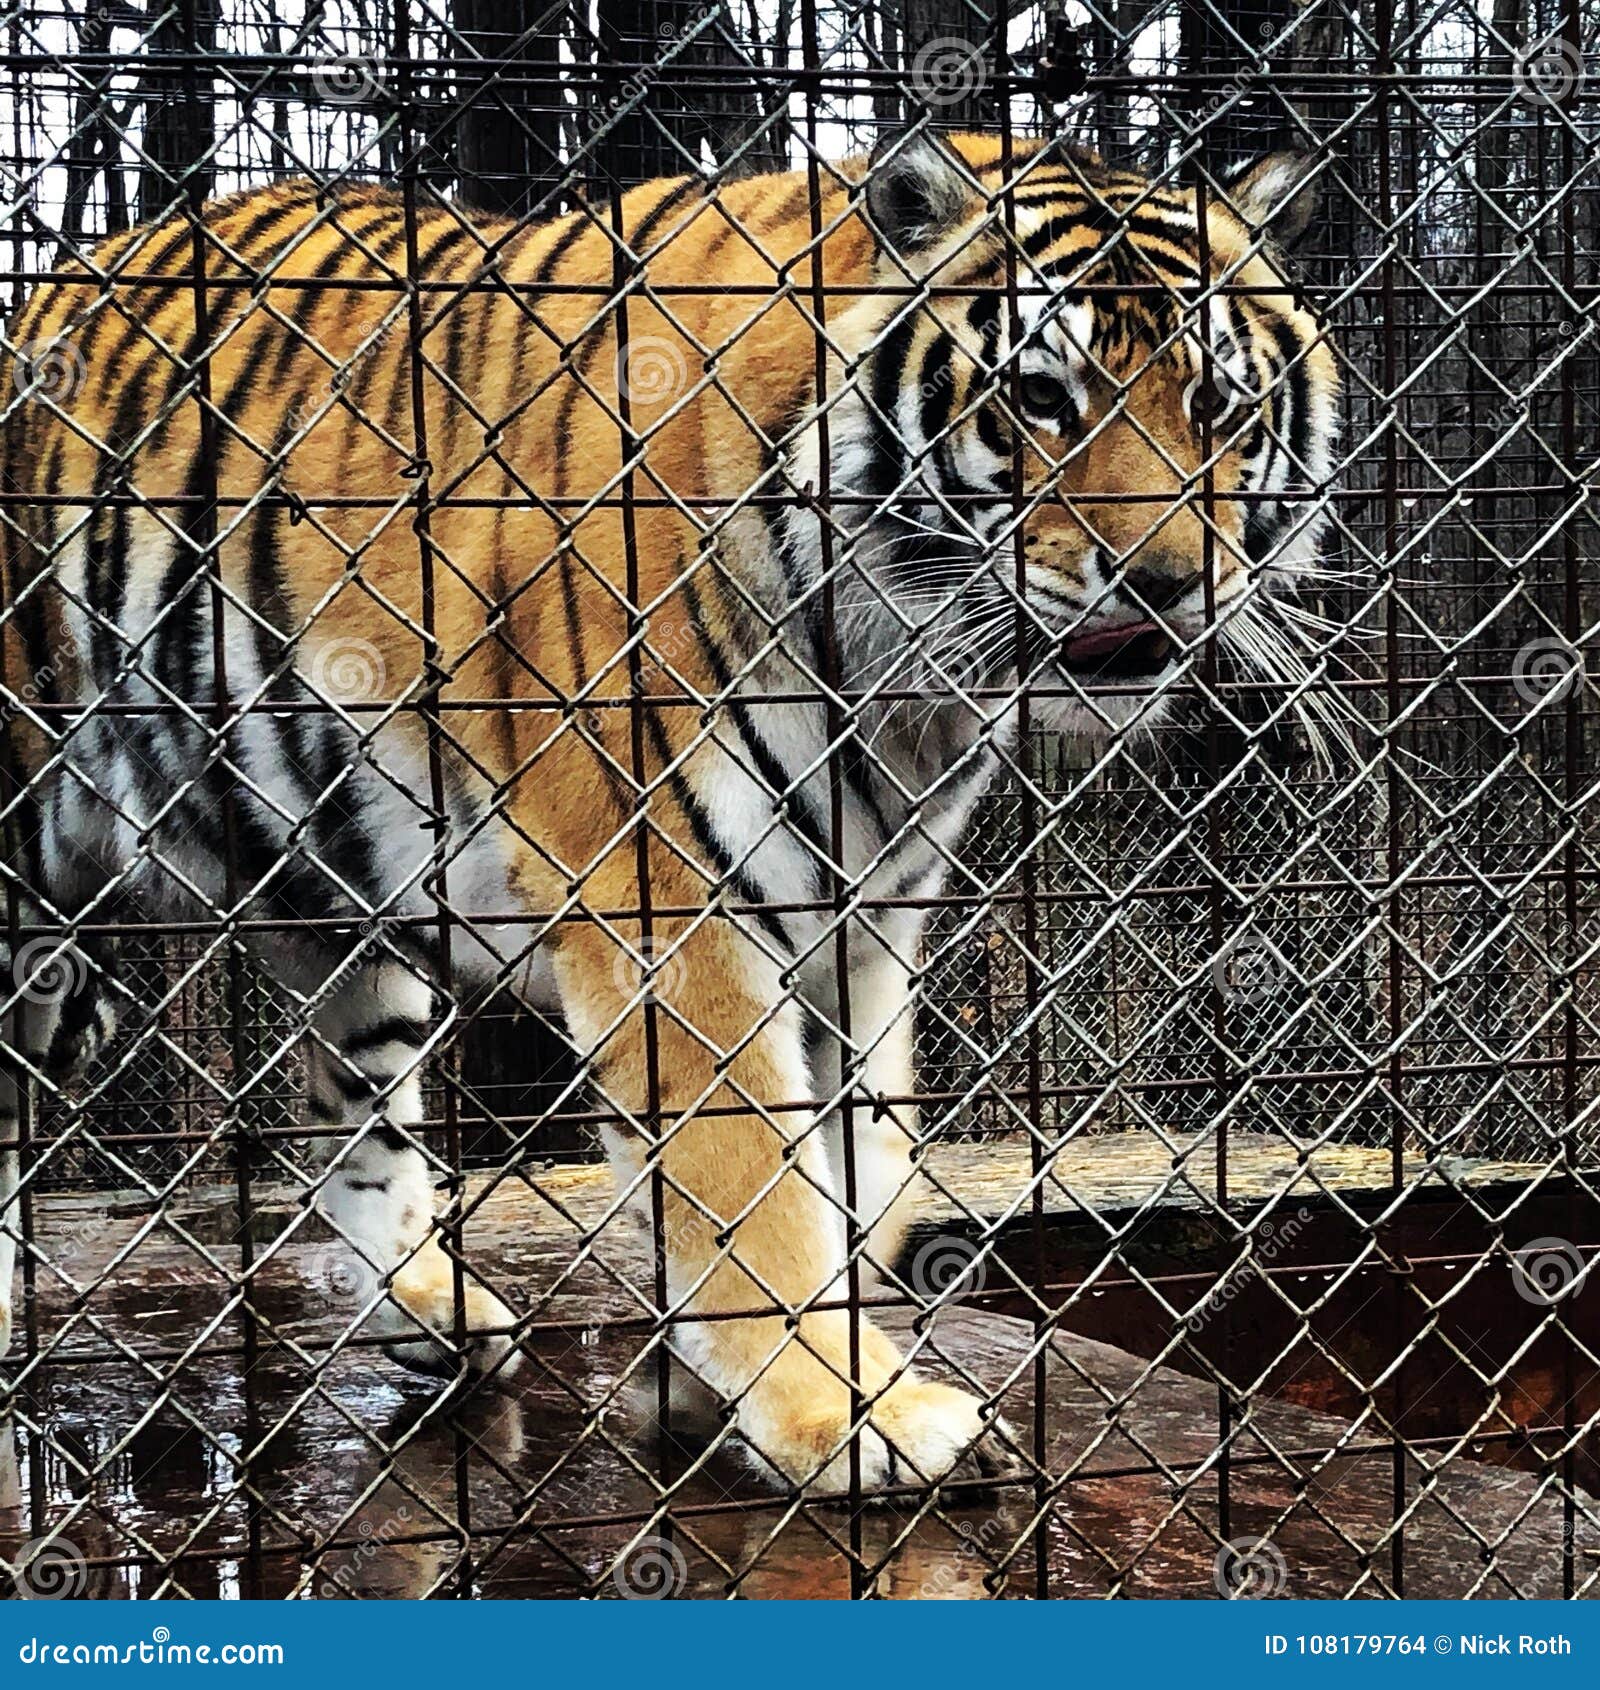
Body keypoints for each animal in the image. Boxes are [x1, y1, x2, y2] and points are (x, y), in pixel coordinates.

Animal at [0, 129, 1338, 1495]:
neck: (899, 689)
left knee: (349, 1113)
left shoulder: (867, 914)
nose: (1168, 581)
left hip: (334, 893)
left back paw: (434, 1320)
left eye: (1218, 408)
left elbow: (859, 1165)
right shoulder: (670, 906)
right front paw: (844, 1412)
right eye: (1040, 397)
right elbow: (749, 1181)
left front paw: (723, 1389)